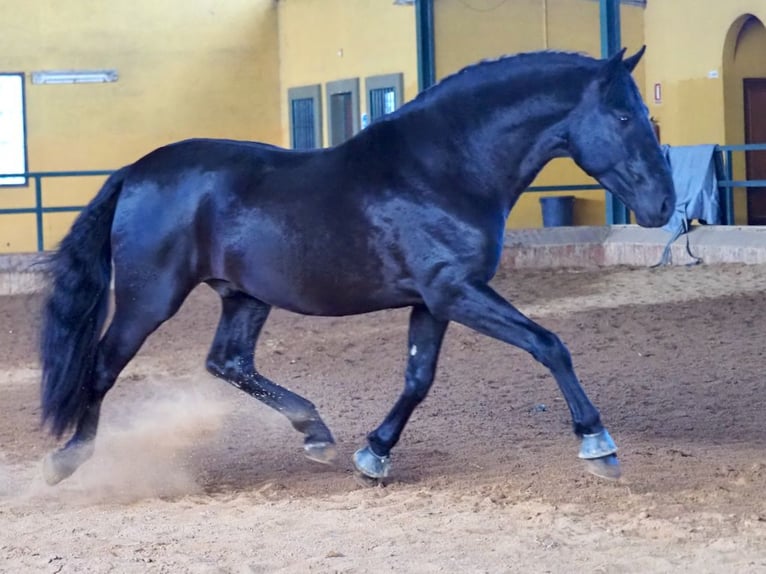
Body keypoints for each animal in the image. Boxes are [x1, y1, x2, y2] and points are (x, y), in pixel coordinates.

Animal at [39, 48, 676, 486]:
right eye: (623, 116)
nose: (664, 206)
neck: (445, 168)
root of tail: (136, 171)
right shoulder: (457, 291)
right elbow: (549, 345)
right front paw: (598, 444)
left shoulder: (433, 301)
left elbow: (418, 379)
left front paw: (374, 454)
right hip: (150, 298)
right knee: (104, 365)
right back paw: (67, 461)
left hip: (244, 295)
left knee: (229, 362)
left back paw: (316, 433)